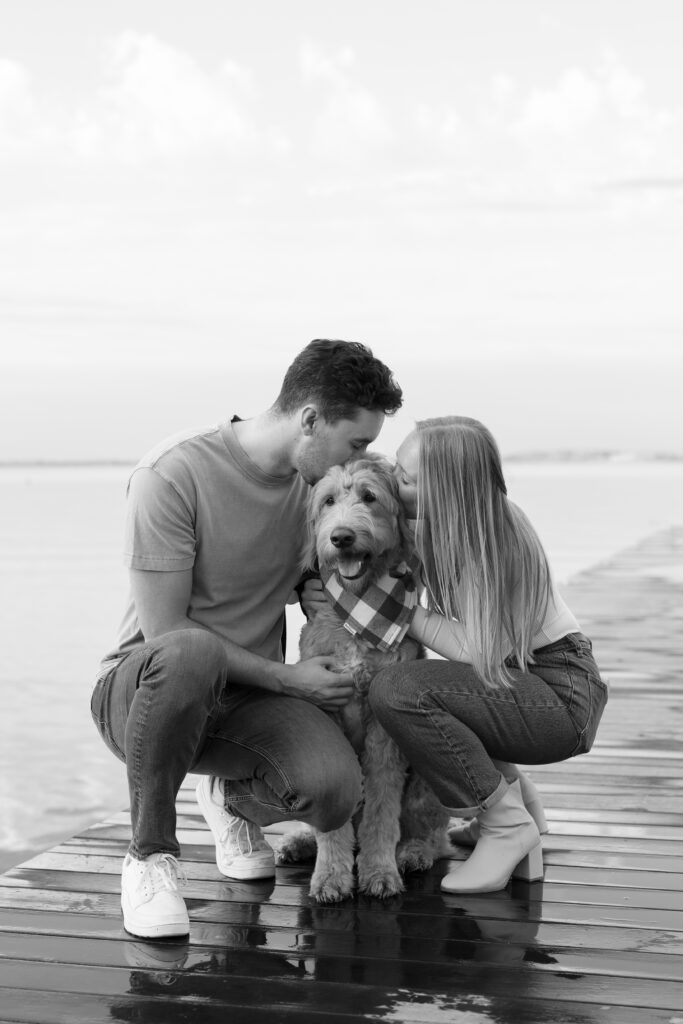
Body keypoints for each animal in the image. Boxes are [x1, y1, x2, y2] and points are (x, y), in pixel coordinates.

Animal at [274, 452, 450, 901]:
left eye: (370, 497)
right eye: (328, 501)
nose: (341, 538)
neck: (359, 611)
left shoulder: (383, 728)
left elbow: (382, 811)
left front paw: (379, 872)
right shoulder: (329, 708)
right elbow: (334, 821)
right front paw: (331, 876)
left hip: (425, 783)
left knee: (433, 835)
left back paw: (412, 853)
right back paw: (299, 841)